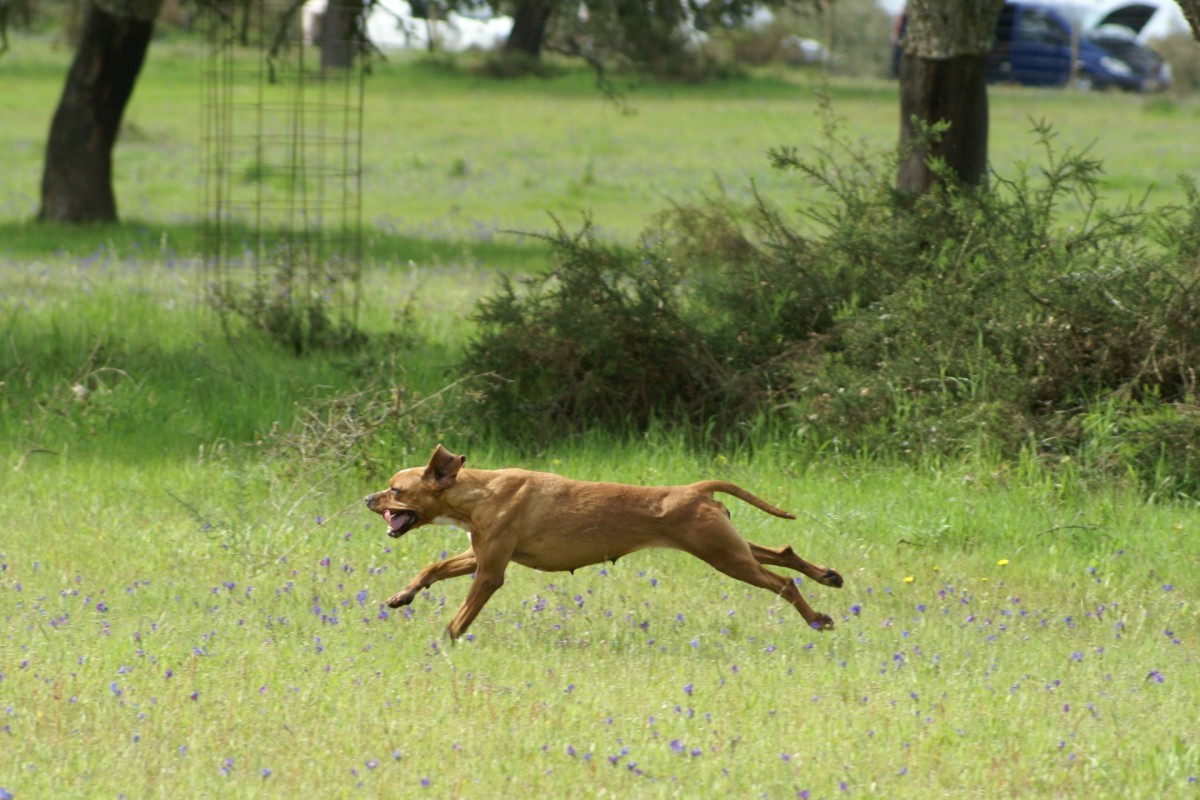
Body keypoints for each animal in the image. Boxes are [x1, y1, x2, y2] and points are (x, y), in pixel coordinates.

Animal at [364, 444, 843, 640]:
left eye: (396, 489)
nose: (368, 498)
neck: (479, 493)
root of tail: (695, 489)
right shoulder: (478, 554)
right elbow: (431, 568)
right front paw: (403, 595)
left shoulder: (490, 572)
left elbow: (460, 617)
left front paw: (445, 641)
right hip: (727, 546)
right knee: (782, 554)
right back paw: (827, 575)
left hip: (725, 556)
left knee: (783, 583)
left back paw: (818, 618)